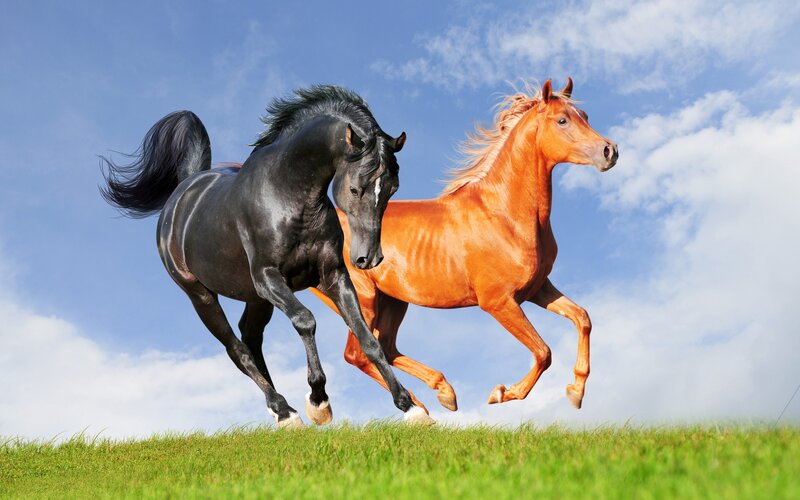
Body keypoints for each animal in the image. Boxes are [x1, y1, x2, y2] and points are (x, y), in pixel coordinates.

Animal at [101, 85, 434, 427]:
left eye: (393, 188)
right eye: (355, 189)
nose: (369, 258)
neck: (289, 195)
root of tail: (183, 192)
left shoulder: (333, 276)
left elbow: (368, 338)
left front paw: (411, 407)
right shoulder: (268, 278)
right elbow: (305, 321)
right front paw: (319, 402)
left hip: (255, 298)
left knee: (250, 338)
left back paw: (282, 410)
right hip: (201, 295)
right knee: (237, 349)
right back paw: (285, 411)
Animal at [310, 79, 618, 416]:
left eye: (584, 116)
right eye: (562, 120)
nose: (610, 151)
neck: (504, 215)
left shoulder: (537, 288)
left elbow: (582, 318)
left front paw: (576, 391)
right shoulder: (498, 302)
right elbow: (543, 352)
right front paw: (502, 393)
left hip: (393, 301)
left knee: (386, 348)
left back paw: (441, 394)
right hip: (362, 299)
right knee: (360, 353)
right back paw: (418, 407)